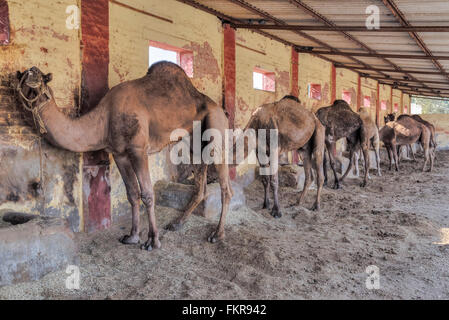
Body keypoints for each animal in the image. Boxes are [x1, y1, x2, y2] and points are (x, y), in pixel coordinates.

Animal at [14, 62, 231, 248]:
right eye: (23, 82)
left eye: (41, 79)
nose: (31, 72)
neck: (104, 118)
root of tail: (221, 109)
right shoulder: (119, 154)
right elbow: (132, 193)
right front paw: (132, 236)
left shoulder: (138, 149)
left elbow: (147, 193)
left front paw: (153, 241)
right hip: (193, 143)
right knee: (201, 184)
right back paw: (177, 224)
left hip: (216, 127)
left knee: (225, 186)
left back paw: (217, 234)